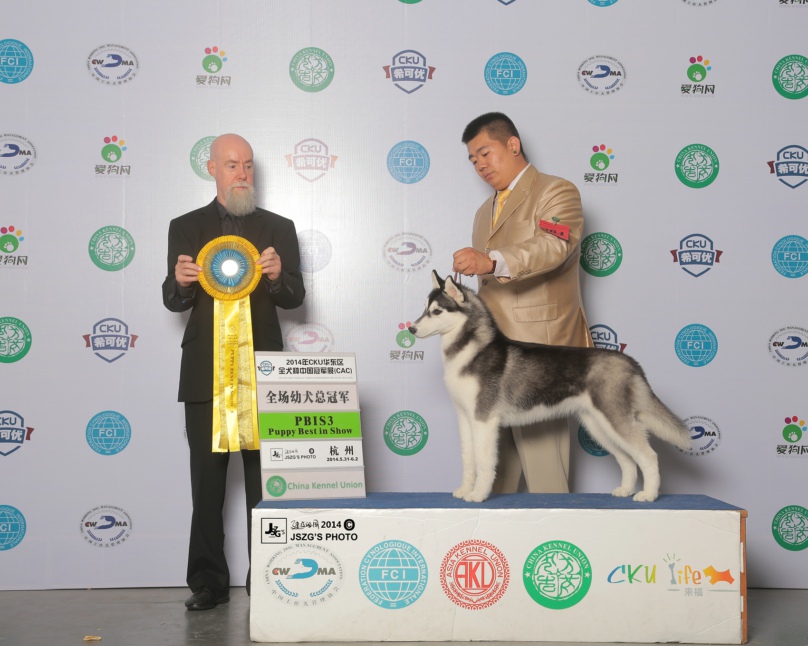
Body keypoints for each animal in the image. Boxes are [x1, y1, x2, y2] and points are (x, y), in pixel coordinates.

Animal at [409, 271, 691, 503]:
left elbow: (483, 461)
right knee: (627, 459)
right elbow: (469, 460)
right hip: (598, 426)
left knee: (648, 456)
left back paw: (648, 495)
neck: (469, 351)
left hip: (614, 420)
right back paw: (625, 490)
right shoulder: (466, 418)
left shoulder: (484, 420)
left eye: (437, 312)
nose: (411, 328)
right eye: (423, 308)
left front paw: (478, 495)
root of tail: (629, 360)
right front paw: (465, 489)